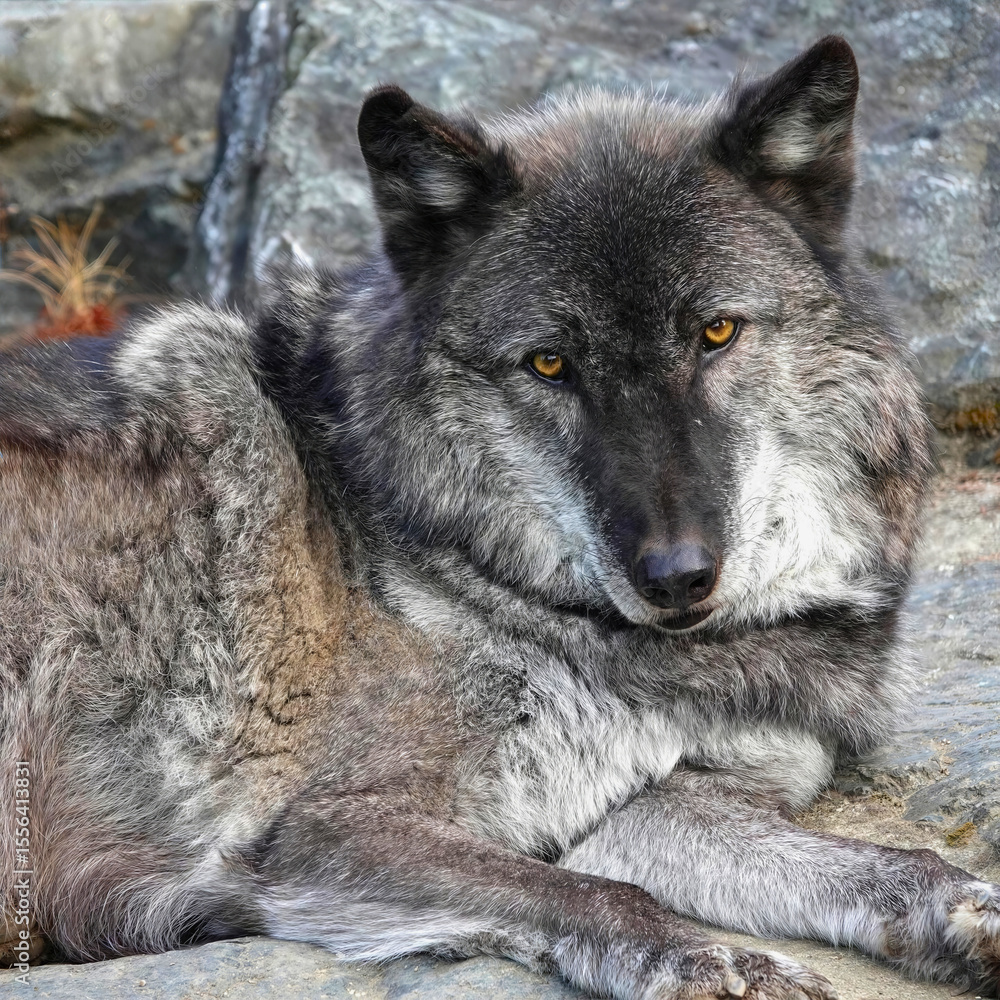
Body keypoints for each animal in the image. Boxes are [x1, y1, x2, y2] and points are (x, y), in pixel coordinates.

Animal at [2, 34, 998, 1000]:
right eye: (549, 363)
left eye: (716, 332)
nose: (676, 575)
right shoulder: (327, 829)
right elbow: (596, 895)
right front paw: (706, 961)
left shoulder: (655, 800)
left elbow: (861, 861)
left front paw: (961, 909)